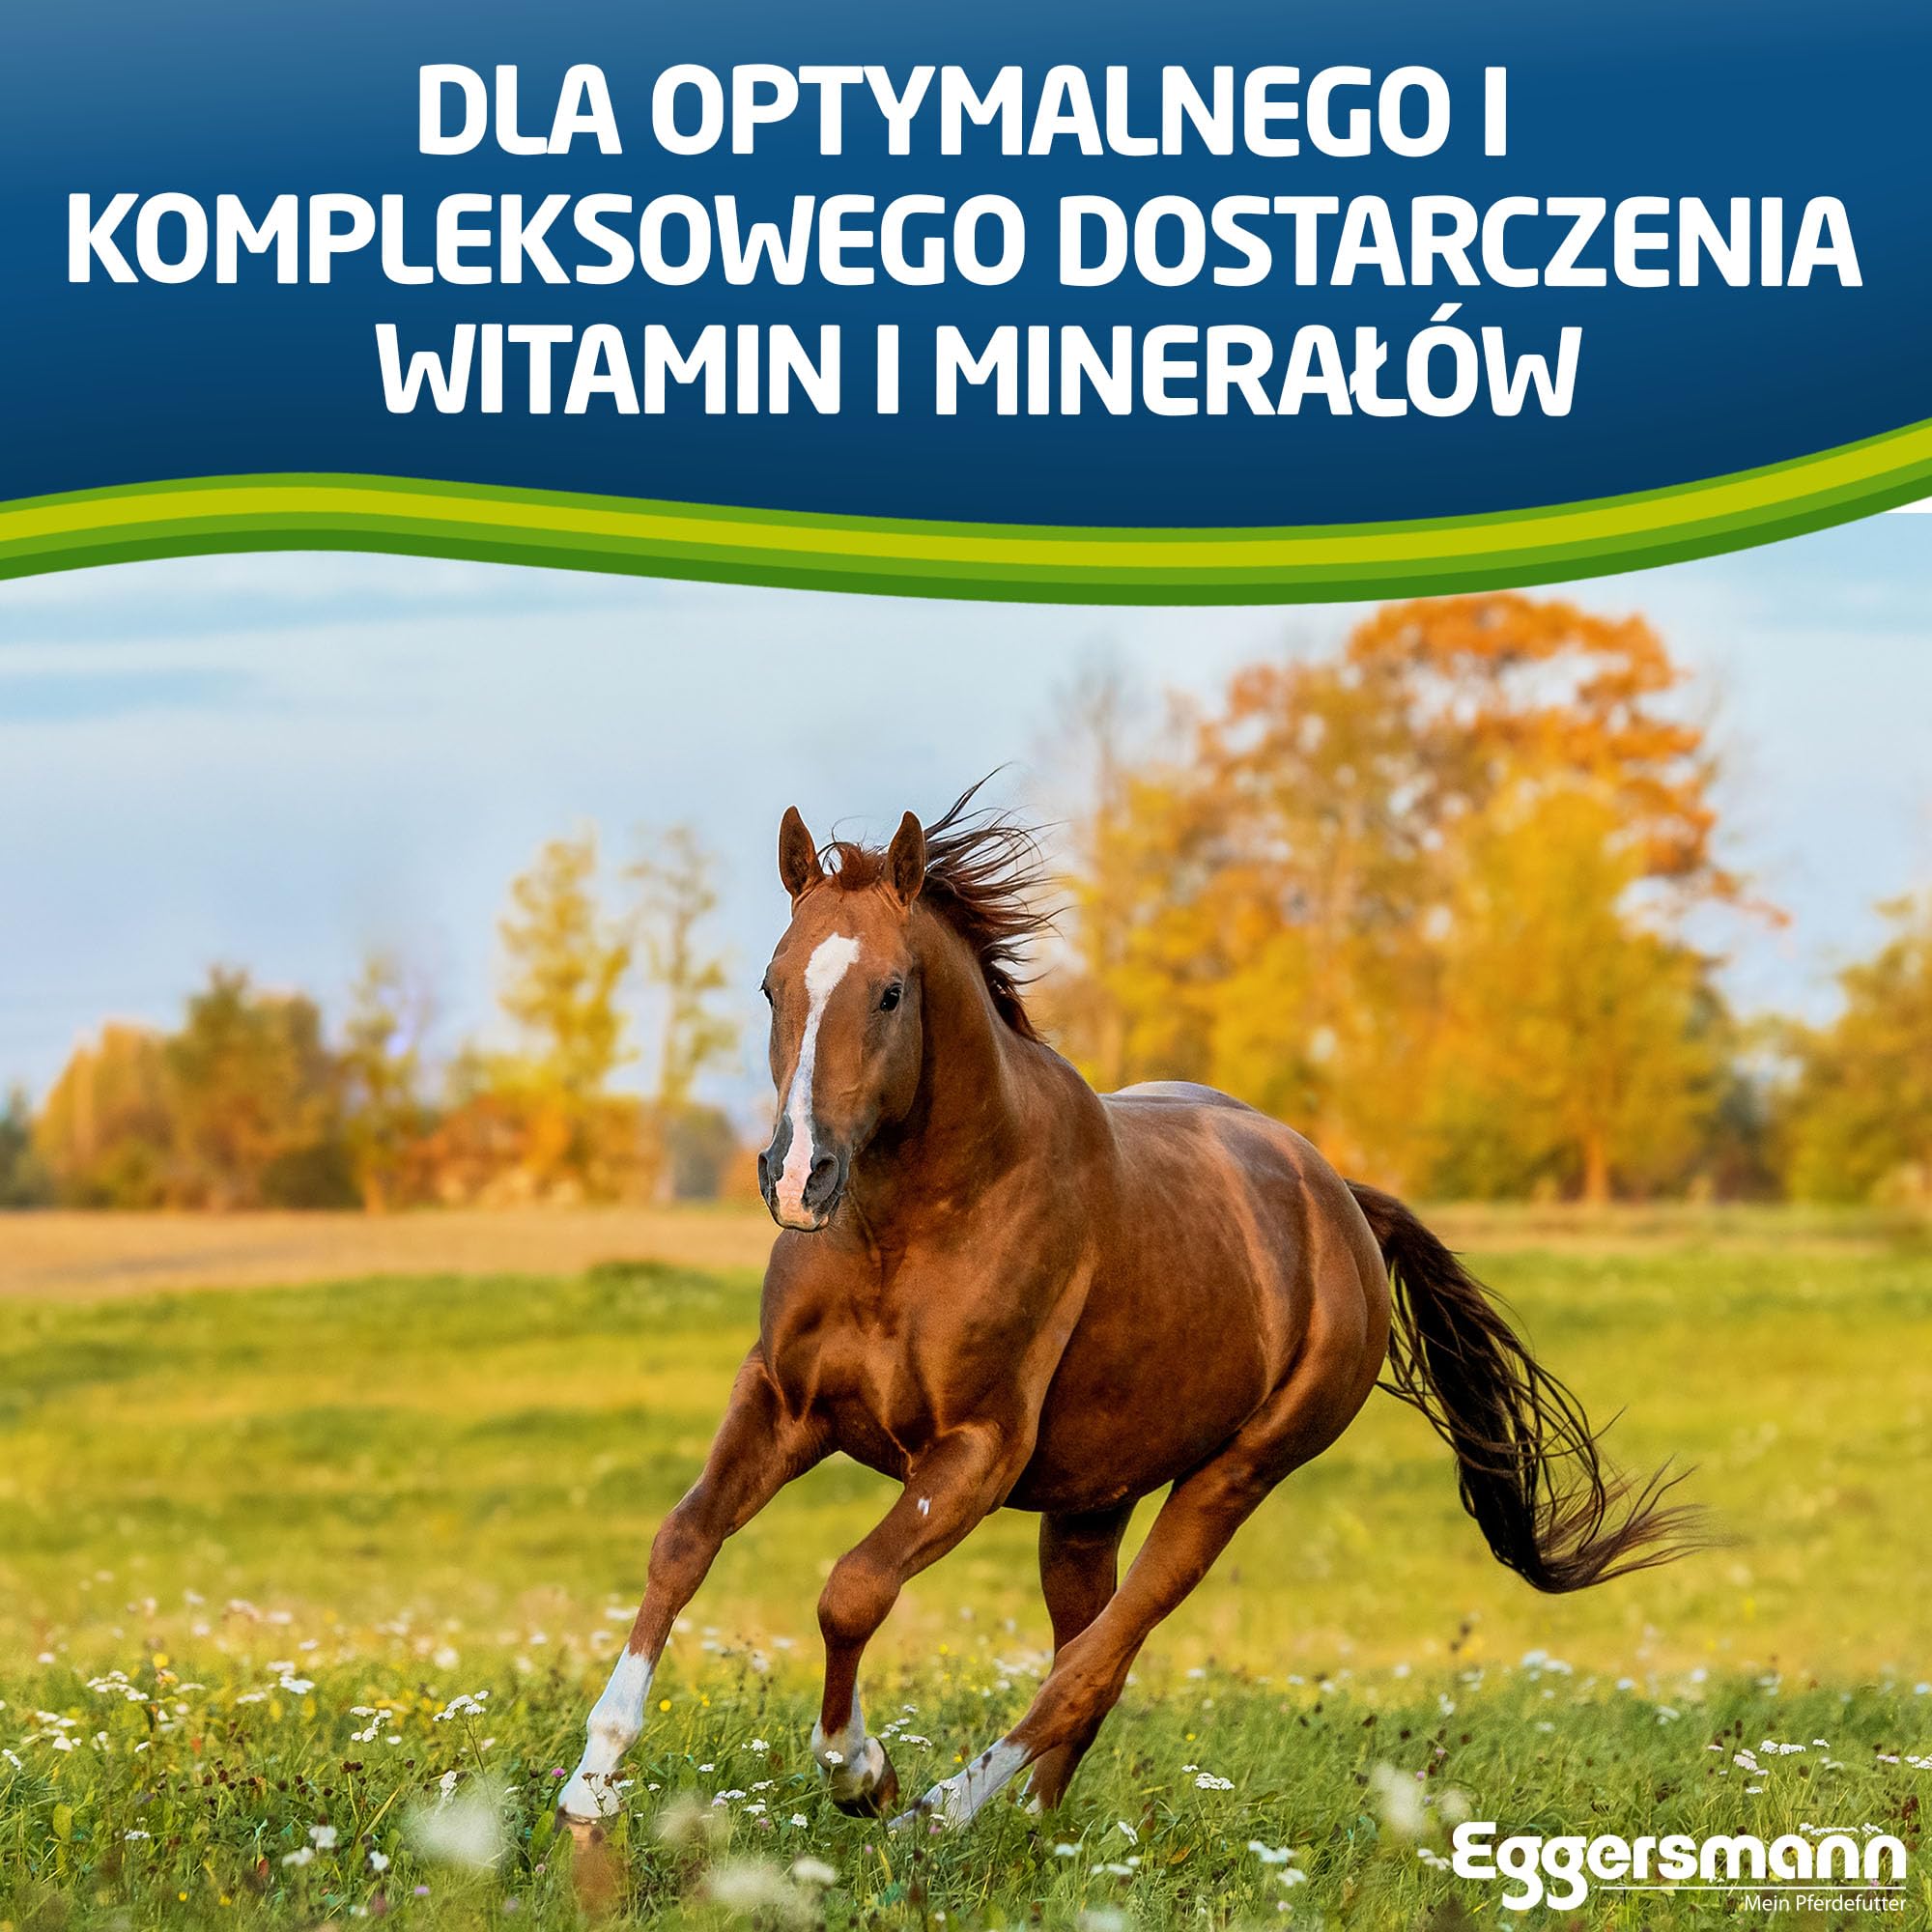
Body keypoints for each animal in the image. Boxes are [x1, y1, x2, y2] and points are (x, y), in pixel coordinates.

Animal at [557, 786, 1699, 1838]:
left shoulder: (974, 1453)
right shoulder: (784, 1402)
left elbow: (854, 1588)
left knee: (1093, 1664)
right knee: (1083, 1654)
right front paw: (591, 1784)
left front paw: (861, 1771)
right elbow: (683, 1539)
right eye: (770, 984)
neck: (910, 1229)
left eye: (888, 991)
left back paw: (942, 1812)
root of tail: (1341, 1200)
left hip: (1230, 1480)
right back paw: (1030, 1825)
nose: (798, 1176)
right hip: (1087, 1504)